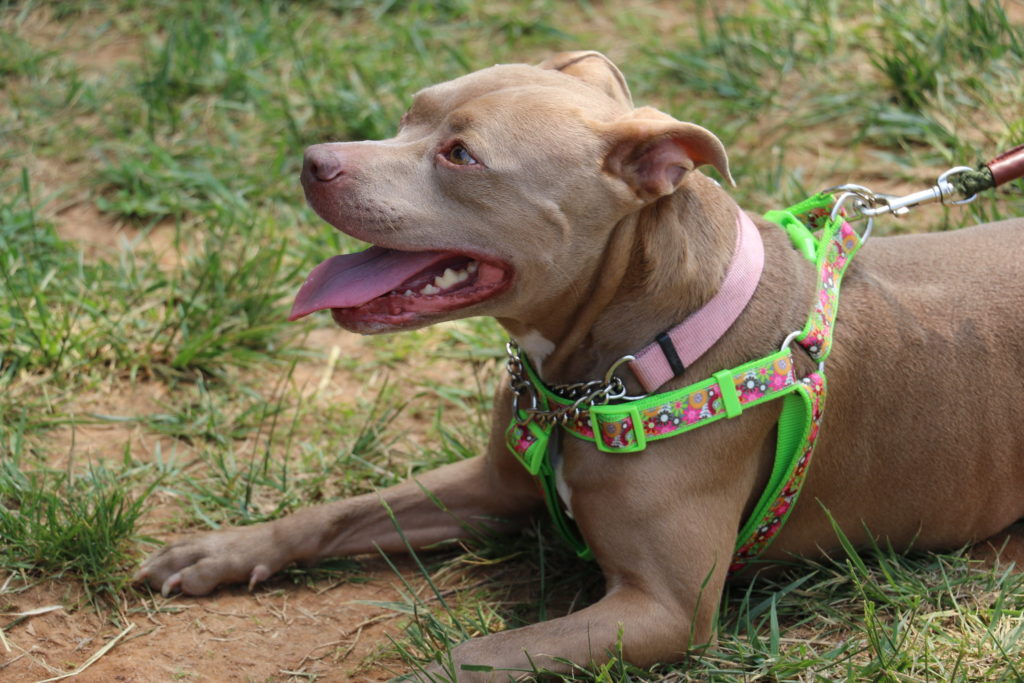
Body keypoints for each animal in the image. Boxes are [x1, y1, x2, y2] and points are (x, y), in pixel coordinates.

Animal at [140, 52, 1024, 679]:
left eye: (460, 156)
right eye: (410, 113)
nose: (313, 158)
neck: (629, 359)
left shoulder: (663, 610)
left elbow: (469, 658)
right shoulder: (493, 484)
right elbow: (343, 509)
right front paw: (222, 550)